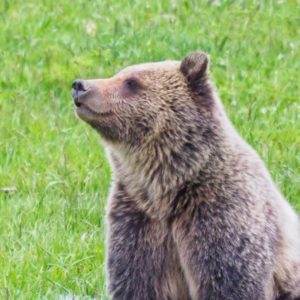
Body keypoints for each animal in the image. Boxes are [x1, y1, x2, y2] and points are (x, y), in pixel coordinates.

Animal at [71, 52, 300, 298]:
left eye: (131, 82)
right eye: (118, 74)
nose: (80, 85)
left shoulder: (222, 218)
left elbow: (231, 281)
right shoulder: (139, 223)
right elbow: (137, 282)